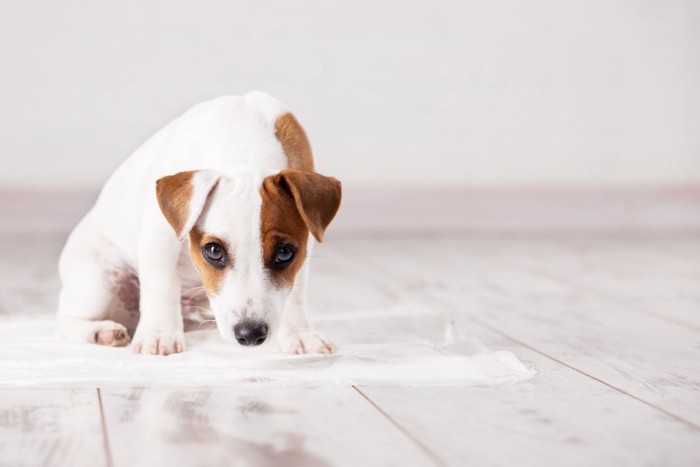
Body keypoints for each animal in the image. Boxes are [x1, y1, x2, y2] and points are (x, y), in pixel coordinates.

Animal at [58, 91, 344, 354]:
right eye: (214, 251)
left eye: (285, 253)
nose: (250, 334)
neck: (243, 150)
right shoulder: (159, 236)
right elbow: (162, 285)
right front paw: (159, 335)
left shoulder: (305, 246)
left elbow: (295, 294)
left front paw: (300, 334)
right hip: (97, 281)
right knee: (65, 321)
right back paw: (101, 332)